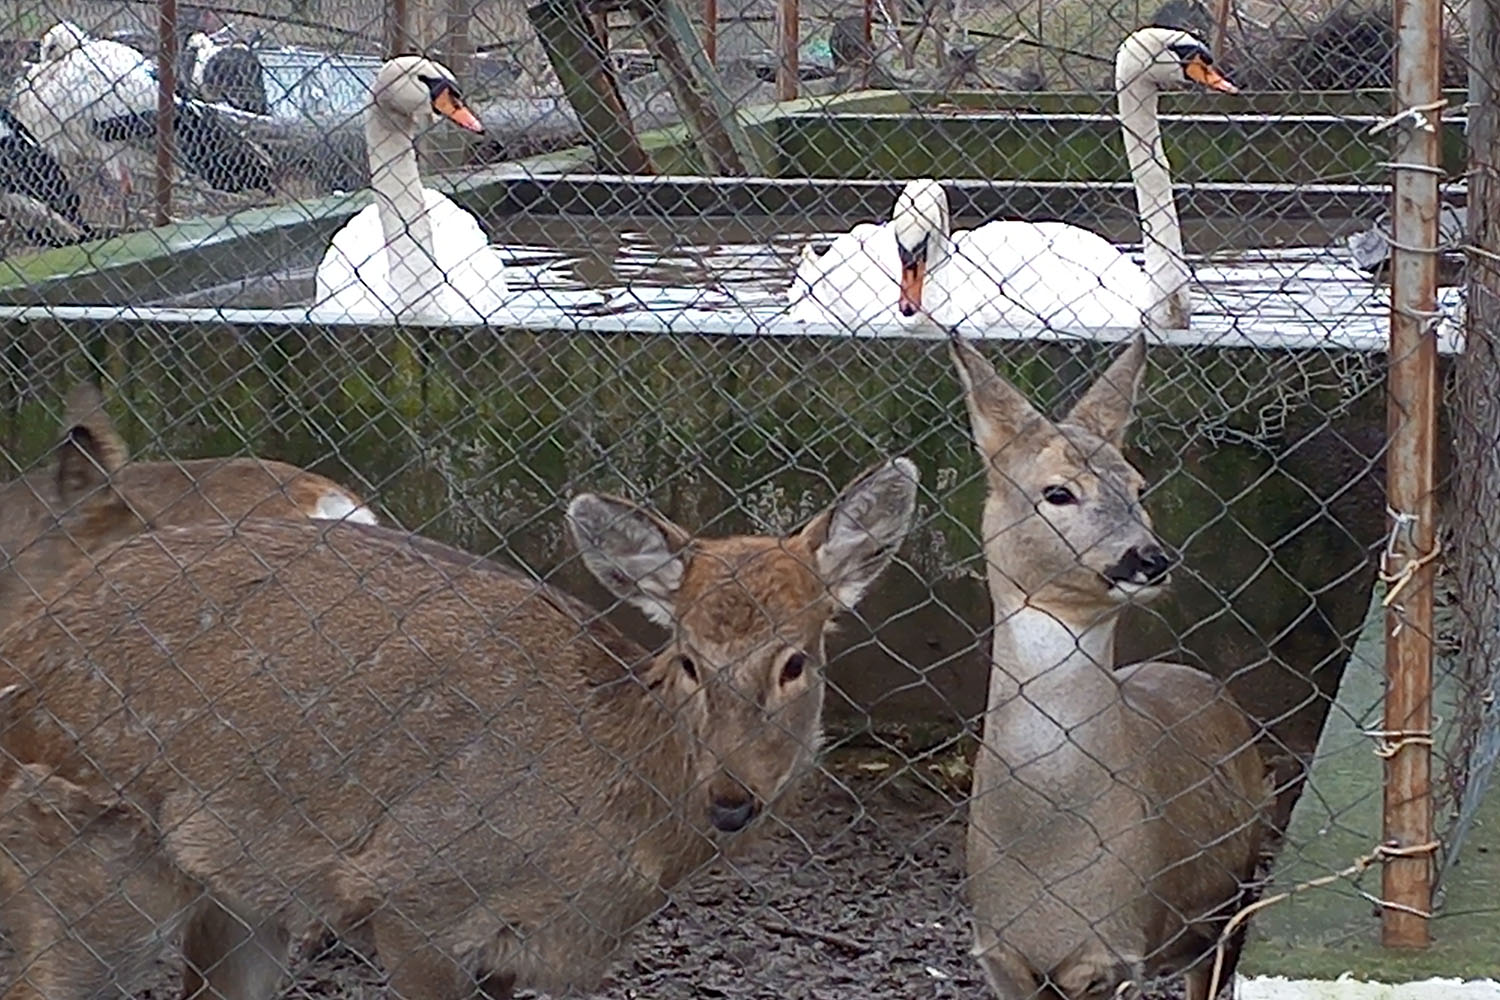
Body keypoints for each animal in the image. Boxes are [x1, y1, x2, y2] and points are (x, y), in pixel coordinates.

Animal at [0, 422, 919, 1000]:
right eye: (688, 657)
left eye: (796, 660)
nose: (732, 798)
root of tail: (22, 652)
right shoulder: (418, 894)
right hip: (95, 854)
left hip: (237, 891)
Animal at [950, 332, 1268, 1000]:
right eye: (1058, 491)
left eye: (1139, 488)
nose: (1149, 558)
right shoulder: (1000, 954)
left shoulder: (1116, 953)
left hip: (1229, 897)